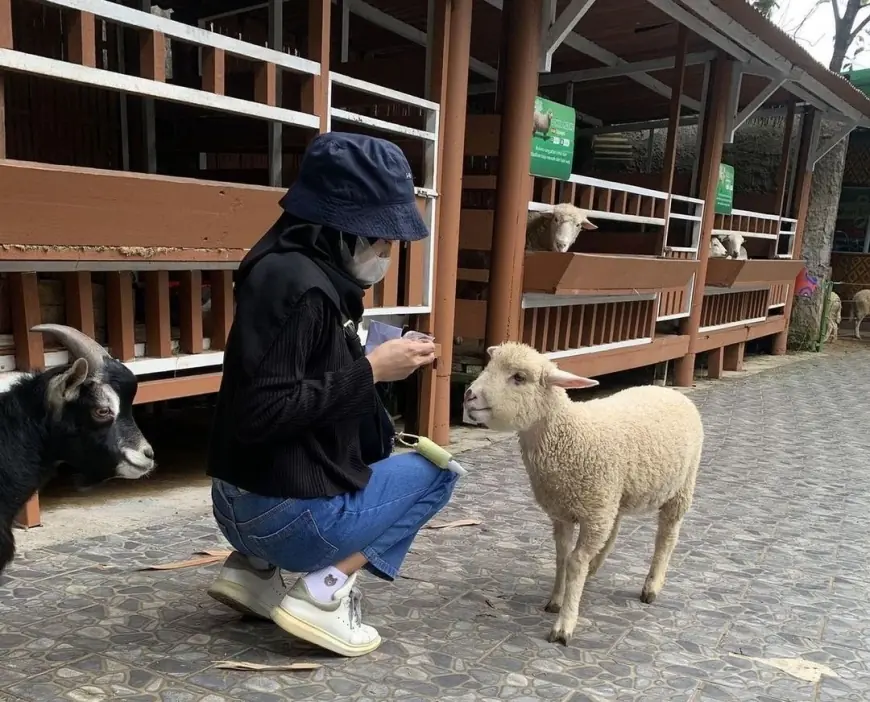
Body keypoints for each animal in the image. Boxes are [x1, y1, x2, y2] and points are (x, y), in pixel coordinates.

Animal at [466, 344, 704, 648]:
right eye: (488, 366)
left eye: (519, 377)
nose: (468, 396)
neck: (569, 435)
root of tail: (671, 392)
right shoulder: (563, 513)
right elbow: (562, 555)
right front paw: (557, 599)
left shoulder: (593, 514)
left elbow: (575, 561)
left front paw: (564, 624)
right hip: (615, 495)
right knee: (614, 531)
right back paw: (595, 569)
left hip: (680, 486)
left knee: (667, 536)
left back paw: (651, 586)